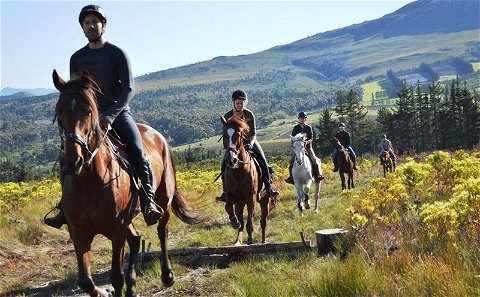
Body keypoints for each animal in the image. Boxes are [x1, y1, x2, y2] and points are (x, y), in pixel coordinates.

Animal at [51, 70, 207, 294]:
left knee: (162, 231)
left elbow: (116, 277)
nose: (74, 161)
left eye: (88, 111)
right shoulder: (79, 233)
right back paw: (132, 286)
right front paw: (104, 292)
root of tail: (159, 137)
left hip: (163, 201)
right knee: (135, 239)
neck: (90, 183)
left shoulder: (117, 229)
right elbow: (85, 281)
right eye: (59, 112)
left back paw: (167, 275)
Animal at [220, 114, 278, 244]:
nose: (232, 160)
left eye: (238, 135)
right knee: (242, 222)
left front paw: (250, 240)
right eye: (224, 135)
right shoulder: (231, 196)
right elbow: (228, 208)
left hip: (264, 200)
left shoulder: (251, 198)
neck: (238, 171)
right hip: (240, 203)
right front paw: (234, 222)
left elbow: (250, 223)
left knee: (263, 222)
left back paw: (262, 241)